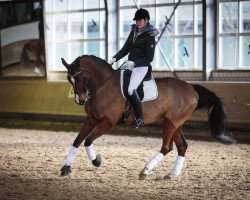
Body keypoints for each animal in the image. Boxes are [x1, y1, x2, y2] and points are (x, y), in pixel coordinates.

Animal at [59, 55, 235, 180]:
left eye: (81, 77)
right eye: (69, 79)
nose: (80, 100)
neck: (103, 86)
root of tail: (191, 88)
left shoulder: (107, 122)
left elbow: (88, 140)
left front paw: (97, 161)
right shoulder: (91, 120)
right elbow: (77, 141)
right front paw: (66, 168)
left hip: (171, 123)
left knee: (167, 147)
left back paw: (145, 171)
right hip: (175, 123)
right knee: (182, 146)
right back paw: (171, 175)